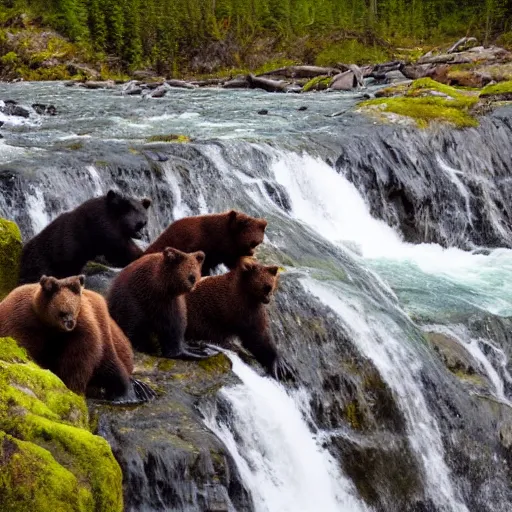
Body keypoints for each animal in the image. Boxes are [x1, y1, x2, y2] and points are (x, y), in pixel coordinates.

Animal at [0, 274, 153, 402]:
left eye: (73, 310)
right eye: (62, 312)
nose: (69, 323)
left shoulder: (83, 330)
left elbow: (79, 361)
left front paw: (72, 387)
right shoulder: (23, 322)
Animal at [20, 189, 152, 286]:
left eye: (145, 222)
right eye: (139, 224)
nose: (142, 235)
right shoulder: (101, 228)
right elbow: (121, 249)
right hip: (42, 259)